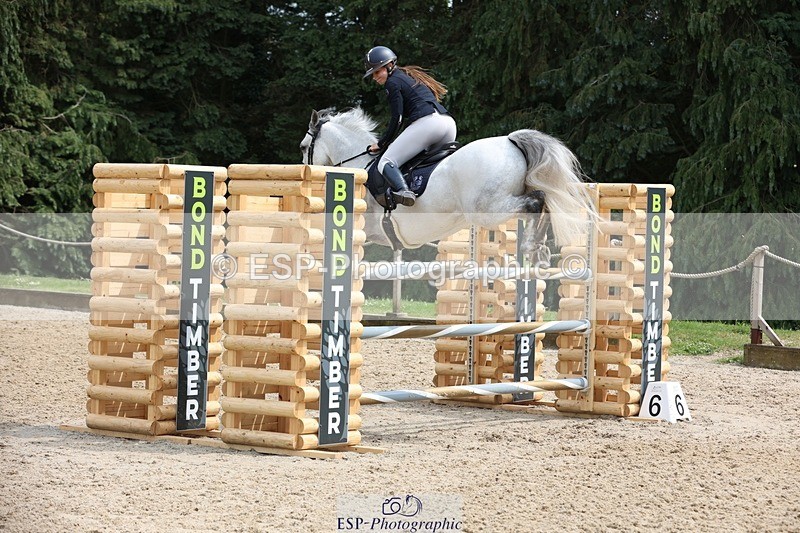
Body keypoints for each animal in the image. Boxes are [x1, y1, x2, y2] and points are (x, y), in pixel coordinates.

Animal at [299, 107, 595, 262]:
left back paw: (532, 246)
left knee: (537, 200)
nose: (304, 167)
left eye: (303, 147)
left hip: (488, 210)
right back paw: (539, 248)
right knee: (542, 201)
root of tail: (511, 140)